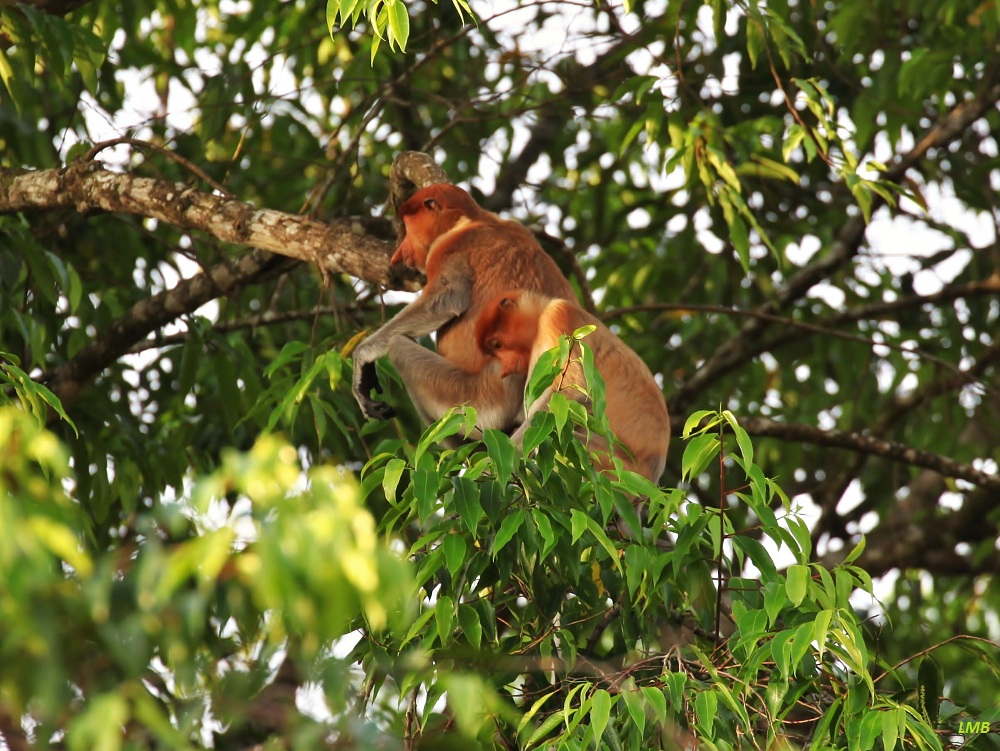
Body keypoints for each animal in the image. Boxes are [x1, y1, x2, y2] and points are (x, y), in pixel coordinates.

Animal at [352, 184, 576, 434]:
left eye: (409, 225)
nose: (399, 253)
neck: (474, 219)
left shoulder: (446, 248)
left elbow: (447, 300)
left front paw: (361, 360)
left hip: (476, 402)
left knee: (398, 344)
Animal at [472, 288, 668, 482]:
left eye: (497, 345)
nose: (504, 370)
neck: (540, 316)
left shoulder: (558, 316)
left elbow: (576, 392)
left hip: (610, 464)